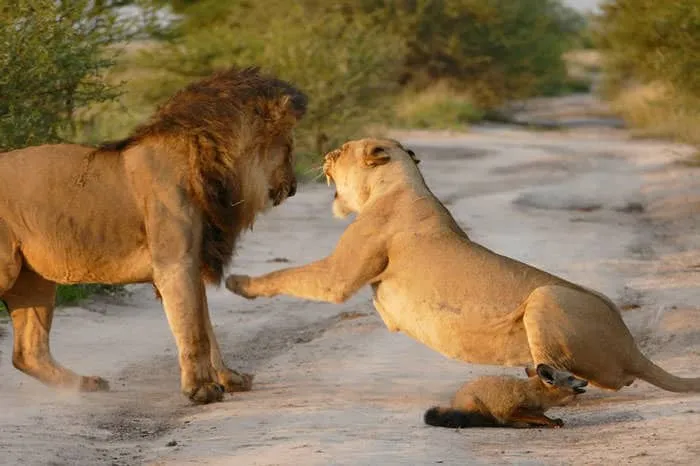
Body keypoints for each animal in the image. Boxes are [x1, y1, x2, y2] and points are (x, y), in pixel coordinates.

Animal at [0, 66, 307, 404]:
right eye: (288, 147)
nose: (294, 187)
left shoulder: (193, 260)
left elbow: (206, 327)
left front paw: (229, 378)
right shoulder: (175, 263)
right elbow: (194, 331)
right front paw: (201, 390)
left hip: (32, 278)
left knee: (28, 353)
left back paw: (86, 384)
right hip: (8, 270)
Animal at [225, 138, 700, 394]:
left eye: (340, 152)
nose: (324, 154)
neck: (398, 183)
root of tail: (632, 347)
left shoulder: (337, 276)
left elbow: (287, 274)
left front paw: (238, 282)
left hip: (547, 295)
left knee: (586, 374)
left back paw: (553, 377)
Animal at [424, 364, 588, 428]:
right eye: (571, 378)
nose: (586, 381)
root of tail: (453, 402)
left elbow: (538, 416)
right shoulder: (512, 409)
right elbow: (540, 416)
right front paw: (551, 422)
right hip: (476, 403)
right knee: (490, 422)